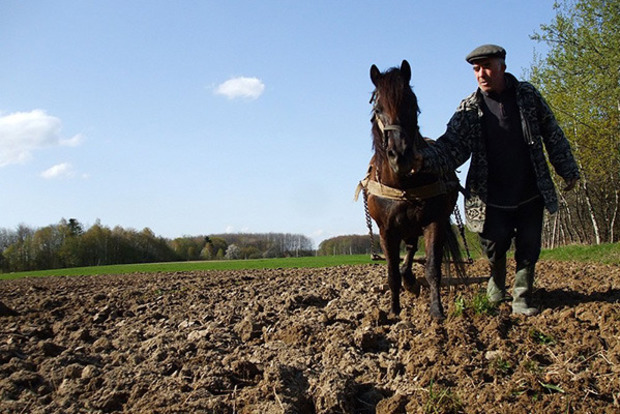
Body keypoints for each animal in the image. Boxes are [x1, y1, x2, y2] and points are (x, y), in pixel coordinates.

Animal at [360, 59, 462, 322]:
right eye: (378, 108)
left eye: (412, 103)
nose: (401, 155)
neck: (403, 185)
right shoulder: (386, 230)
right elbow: (392, 271)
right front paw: (394, 311)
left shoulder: (434, 221)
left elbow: (432, 267)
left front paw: (437, 311)